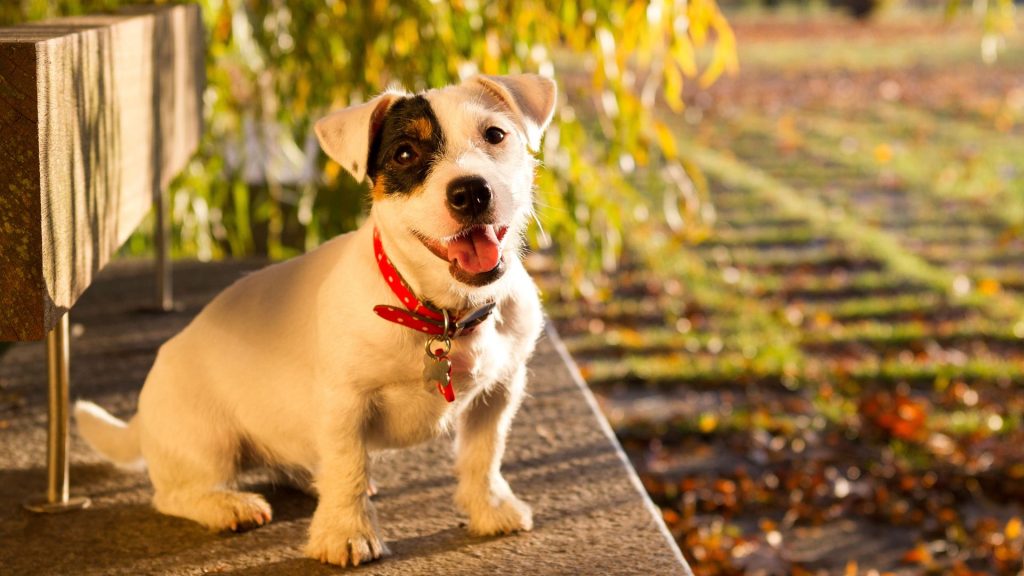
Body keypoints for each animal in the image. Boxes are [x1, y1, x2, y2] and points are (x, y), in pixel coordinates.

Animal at [74, 71, 557, 565]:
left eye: (494, 135)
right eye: (405, 153)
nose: (471, 192)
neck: (440, 312)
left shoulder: (498, 392)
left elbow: (484, 454)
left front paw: (490, 508)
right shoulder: (345, 403)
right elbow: (348, 466)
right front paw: (348, 532)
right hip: (207, 442)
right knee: (174, 494)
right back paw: (226, 505)